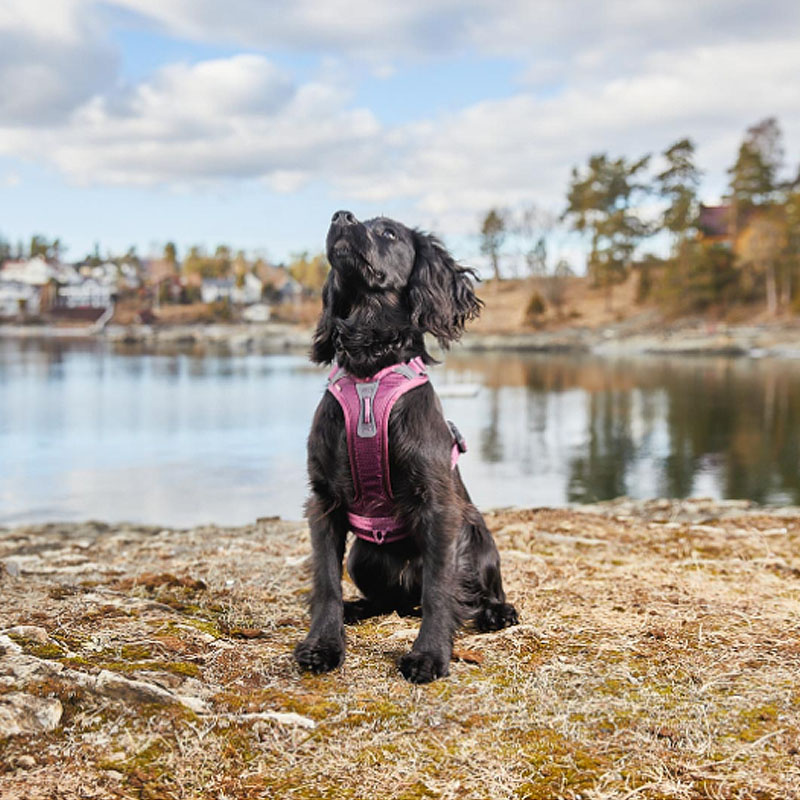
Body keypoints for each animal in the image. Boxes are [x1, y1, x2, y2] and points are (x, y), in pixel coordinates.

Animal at [296, 208, 520, 680]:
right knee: (389, 600)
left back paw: (497, 611)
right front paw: (322, 644)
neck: (369, 369)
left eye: (388, 232)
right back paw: (357, 608)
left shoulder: (437, 503)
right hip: (362, 557)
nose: (340, 215)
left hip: (478, 540)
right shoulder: (323, 501)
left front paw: (429, 655)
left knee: (468, 592)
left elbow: (438, 589)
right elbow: (325, 582)